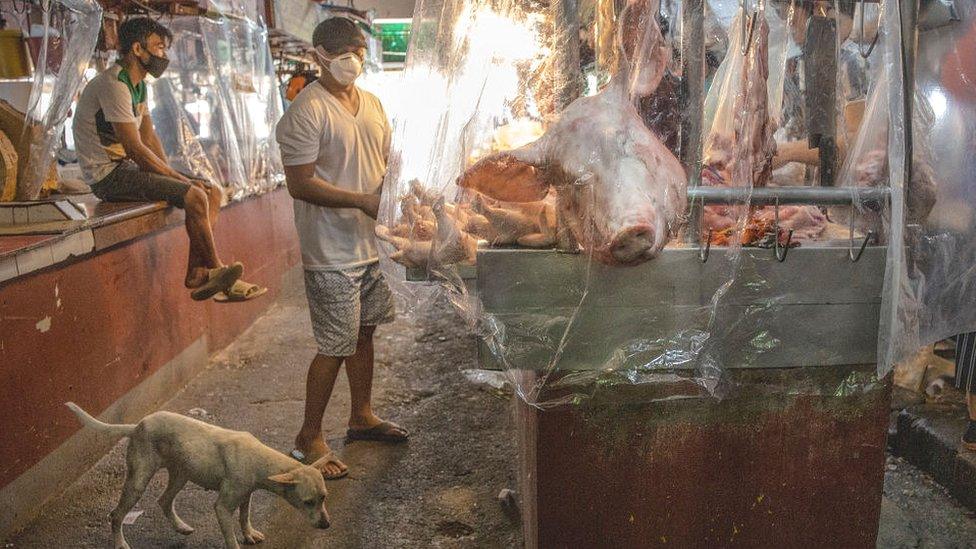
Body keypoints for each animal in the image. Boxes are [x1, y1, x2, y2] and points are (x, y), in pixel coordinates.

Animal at [66, 400, 332, 544]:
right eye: (308, 502)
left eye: (324, 498)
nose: (327, 525)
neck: (259, 459)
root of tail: (137, 426)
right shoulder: (222, 507)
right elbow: (230, 537)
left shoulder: (246, 495)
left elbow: (245, 516)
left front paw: (249, 534)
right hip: (138, 481)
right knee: (116, 515)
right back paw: (121, 543)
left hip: (181, 475)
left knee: (164, 501)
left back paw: (181, 527)